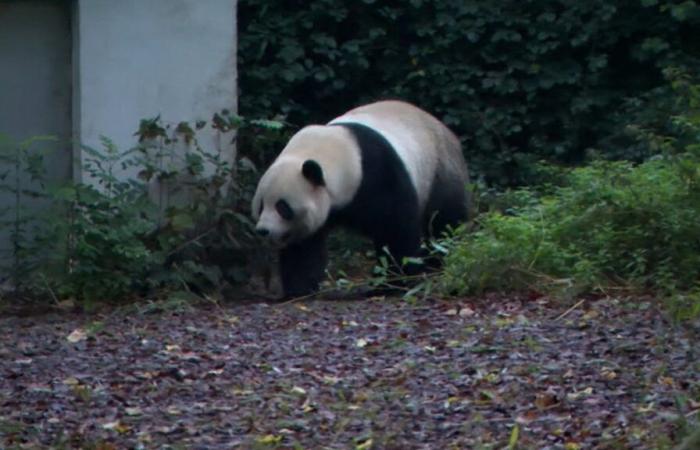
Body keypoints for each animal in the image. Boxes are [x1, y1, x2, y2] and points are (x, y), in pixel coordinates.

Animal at [252, 102, 470, 298]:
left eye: (282, 207)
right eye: (261, 206)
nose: (263, 231)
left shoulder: (379, 174)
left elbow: (395, 228)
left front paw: (394, 282)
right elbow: (304, 247)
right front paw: (299, 289)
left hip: (440, 170)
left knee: (444, 221)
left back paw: (437, 262)